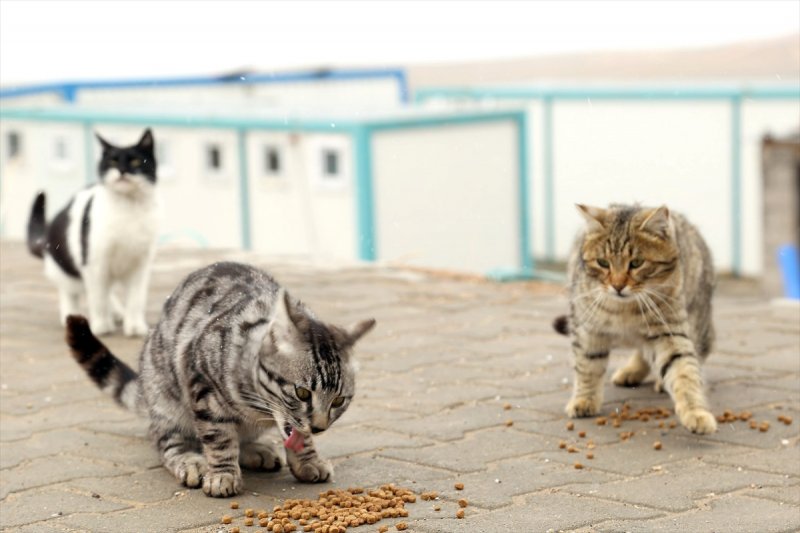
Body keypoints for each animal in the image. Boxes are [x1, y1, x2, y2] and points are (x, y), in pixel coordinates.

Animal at [25, 128, 159, 334]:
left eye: (136, 161)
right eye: (112, 161)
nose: (122, 170)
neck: (128, 208)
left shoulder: (141, 265)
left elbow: (136, 299)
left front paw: (135, 326)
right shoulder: (95, 261)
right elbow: (98, 298)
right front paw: (101, 325)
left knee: (107, 291)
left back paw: (118, 312)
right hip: (68, 270)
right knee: (71, 292)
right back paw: (71, 315)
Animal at [65, 260, 376, 496]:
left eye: (339, 400)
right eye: (302, 393)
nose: (320, 426)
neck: (257, 404)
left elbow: (298, 437)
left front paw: (308, 460)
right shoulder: (203, 389)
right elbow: (219, 438)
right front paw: (222, 475)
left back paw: (255, 450)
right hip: (167, 401)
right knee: (167, 440)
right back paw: (193, 462)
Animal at [552, 203, 716, 432]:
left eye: (637, 263)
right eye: (603, 263)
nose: (618, 285)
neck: (625, 311)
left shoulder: (669, 331)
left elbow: (684, 372)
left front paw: (696, 412)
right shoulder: (587, 329)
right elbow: (588, 367)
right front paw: (584, 400)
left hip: (696, 318)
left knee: (698, 350)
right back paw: (631, 372)